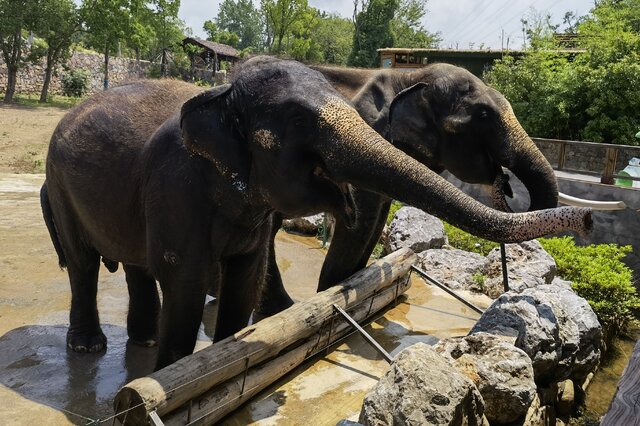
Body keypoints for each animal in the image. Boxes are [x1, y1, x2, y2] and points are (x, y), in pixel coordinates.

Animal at [256, 62, 564, 316]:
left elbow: (376, 220)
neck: (408, 77)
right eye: (483, 114)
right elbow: (361, 223)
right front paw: (331, 299)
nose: (505, 182)